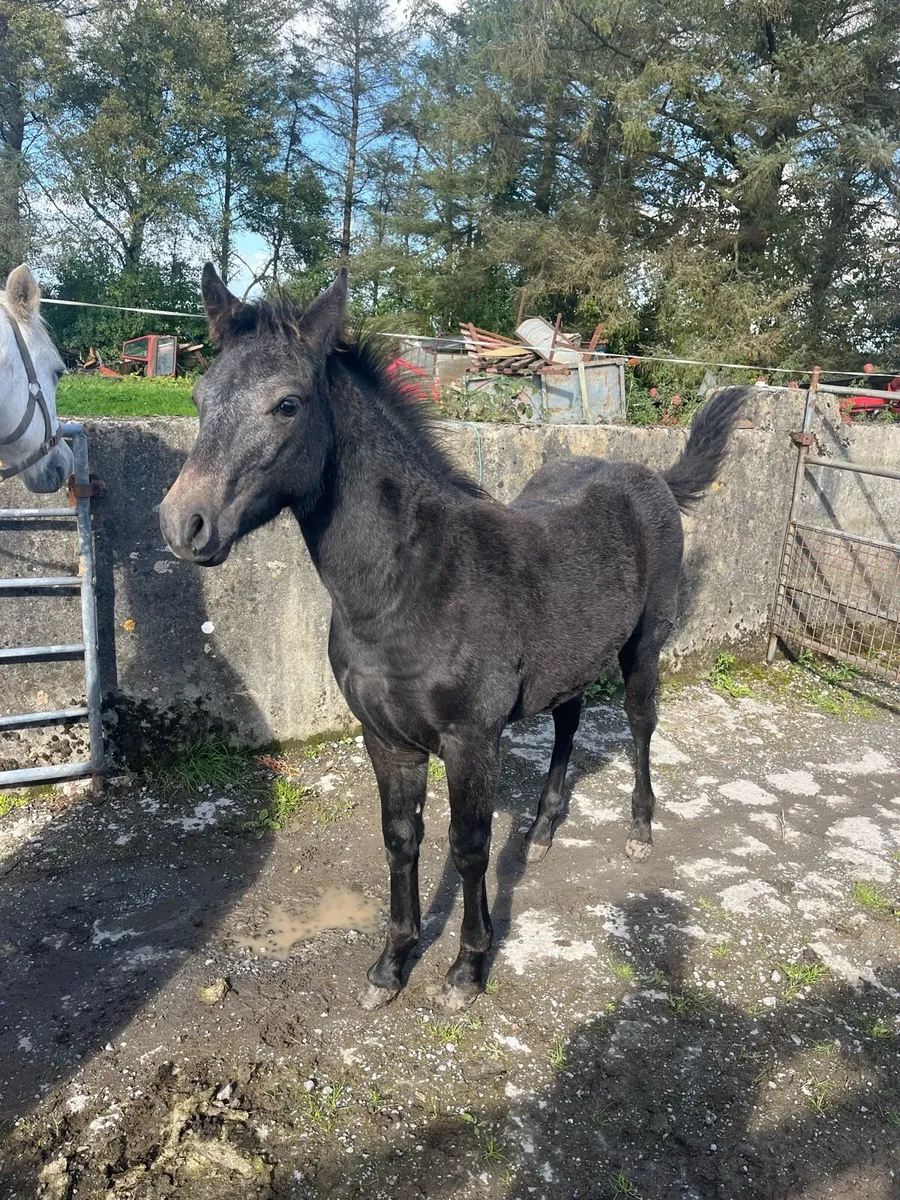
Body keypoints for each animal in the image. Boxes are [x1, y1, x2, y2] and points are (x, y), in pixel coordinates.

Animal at [159, 265, 745, 1013]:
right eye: (200, 396)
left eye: (287, 404)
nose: (184, 524)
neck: (408, 584)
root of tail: (654, 477)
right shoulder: (386, 738)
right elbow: (401, 839)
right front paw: (392, 963)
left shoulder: (471, 738)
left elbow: (469, 847)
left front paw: (467, 968)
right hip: (569, 659)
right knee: (569, 721)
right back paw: (544, 828)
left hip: (642, 647)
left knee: (641, 723)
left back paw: (640, 829)